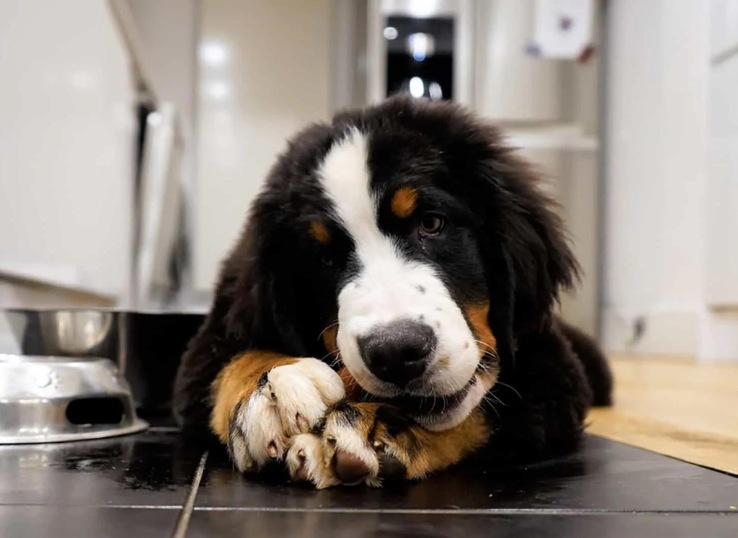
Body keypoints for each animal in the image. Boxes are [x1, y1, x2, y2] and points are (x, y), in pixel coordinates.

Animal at [172, 95, 608, 486]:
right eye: (325, 259)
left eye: (431, 223)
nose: (396, 352)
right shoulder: (208, 346)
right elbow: (231, 363)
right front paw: (272, 393)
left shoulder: (549, 369)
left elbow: (484, 415)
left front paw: (374, 427)